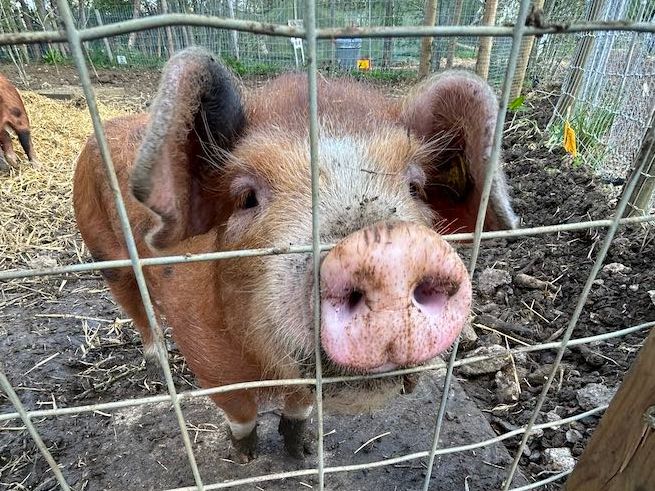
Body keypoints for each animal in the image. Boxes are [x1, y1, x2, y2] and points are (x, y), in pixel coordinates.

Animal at [73, 47, 517, 462]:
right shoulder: (206, 357)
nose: (392, 250)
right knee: (134, 306)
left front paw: (300, 452)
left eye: (416, 186)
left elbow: (300, 405)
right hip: (101, 248)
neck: (266, 368)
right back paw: (156, 359)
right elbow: (240, 410)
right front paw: (245, 456)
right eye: (246, 198)